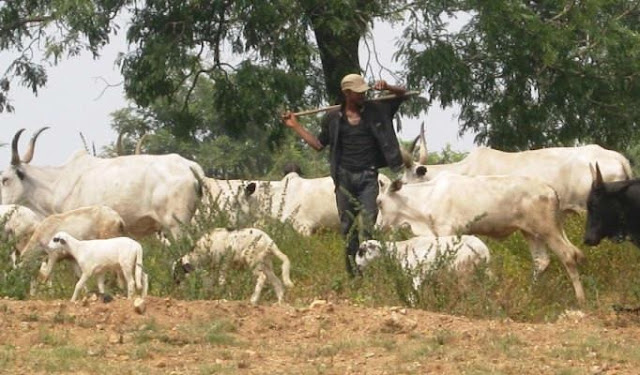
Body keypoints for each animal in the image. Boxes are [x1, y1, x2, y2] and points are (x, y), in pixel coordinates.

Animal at [356, 236, 490, 290]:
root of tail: (485, 251)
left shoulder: (417, 275)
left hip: (462, 271)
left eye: (361, 252)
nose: (357, 265)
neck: (400, 250)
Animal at [378, 176, 588, 306]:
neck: (425, 198)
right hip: (531, 233)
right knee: (542, 261)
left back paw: (580, 300)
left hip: (547, 229)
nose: (377, 227)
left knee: (568, 255)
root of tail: (551, 190)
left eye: (379, 202)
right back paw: (529, 294)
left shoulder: (447, 230)